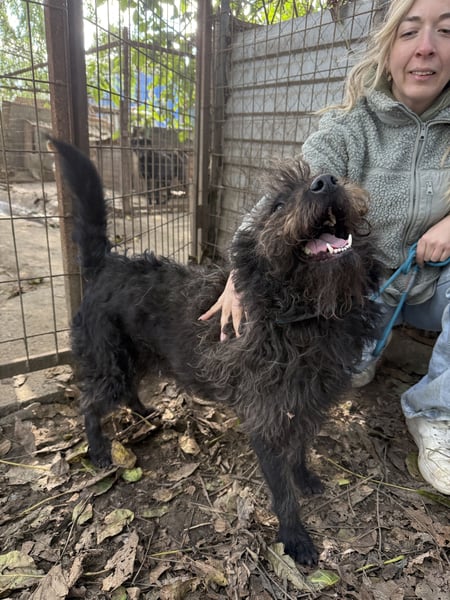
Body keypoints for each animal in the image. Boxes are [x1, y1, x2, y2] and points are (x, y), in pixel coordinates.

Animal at [49, 138, 382, 566]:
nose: (326, 181)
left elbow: (300, 451)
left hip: (137, 356)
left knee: (129, 390)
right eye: (278, 205)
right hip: (110, 362)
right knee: (90, 404)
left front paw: (305, 477)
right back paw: (99, 450)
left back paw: (145, 413)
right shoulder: (265, 418)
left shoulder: (307, 406)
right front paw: (294, 537)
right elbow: (282, 490)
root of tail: (106, 264)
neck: (304, 317)